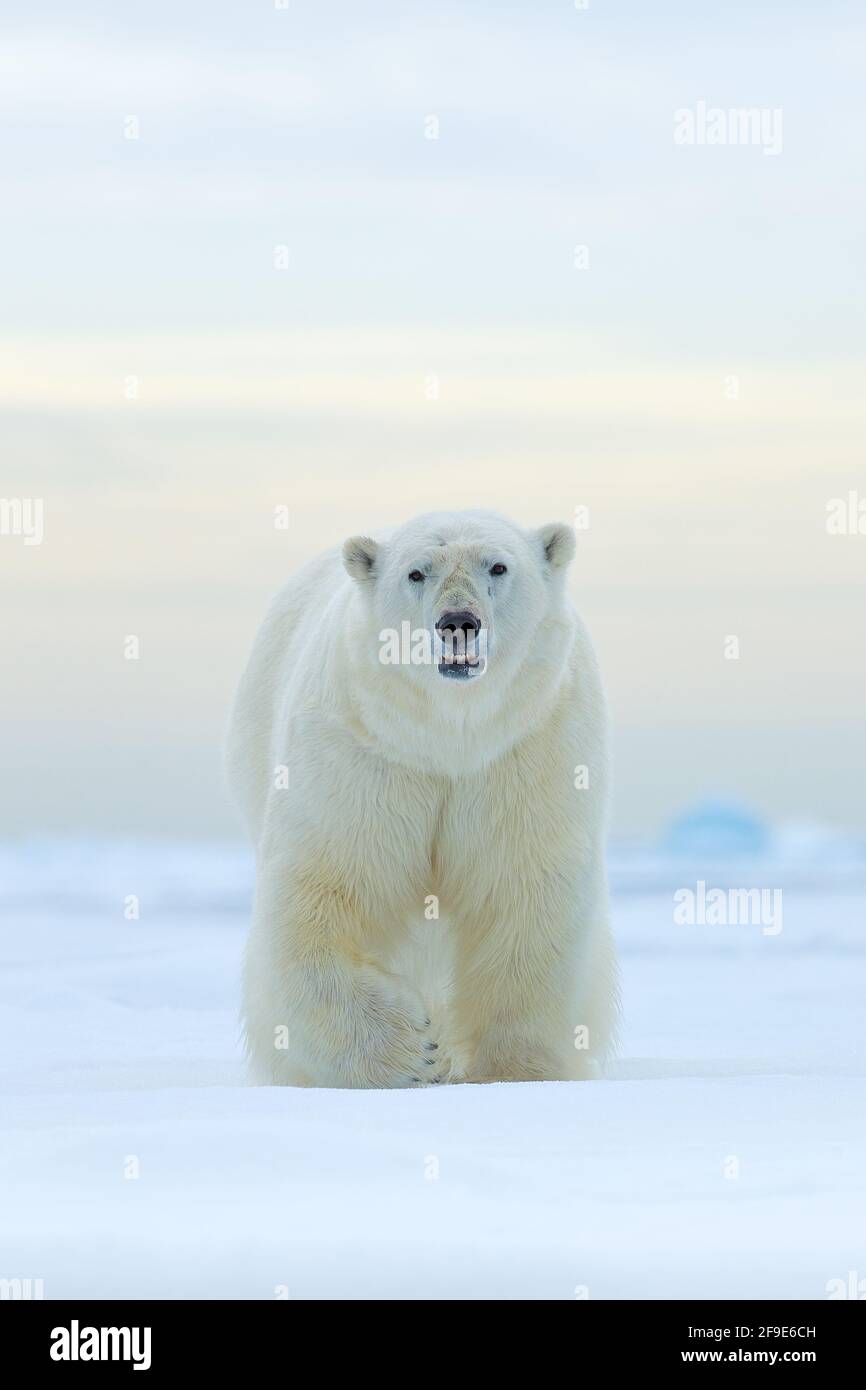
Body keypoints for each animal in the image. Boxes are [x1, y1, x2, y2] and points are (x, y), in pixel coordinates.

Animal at [226, 509, 619, 1087]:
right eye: (416, 572)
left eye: (498, 566)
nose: (458, 621)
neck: (447, 738)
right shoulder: (365, 753)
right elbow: (323, 885)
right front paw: (412, 1050)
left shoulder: (525, 749)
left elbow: (524, 891)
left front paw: (513, 1070)